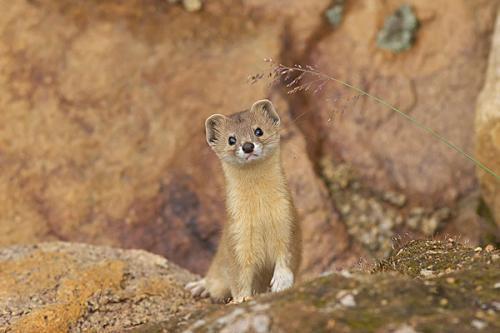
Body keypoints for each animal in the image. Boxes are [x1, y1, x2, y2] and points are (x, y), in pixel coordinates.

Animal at [185, 98, 298, 300]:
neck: (261, 214)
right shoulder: (237, 235)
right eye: (231, 139)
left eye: (258, 130)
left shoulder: (287, 220)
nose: (247, 146)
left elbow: (286, 256)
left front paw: (281, 282)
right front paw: (242, 298)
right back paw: (200, 287)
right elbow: (239, 276)